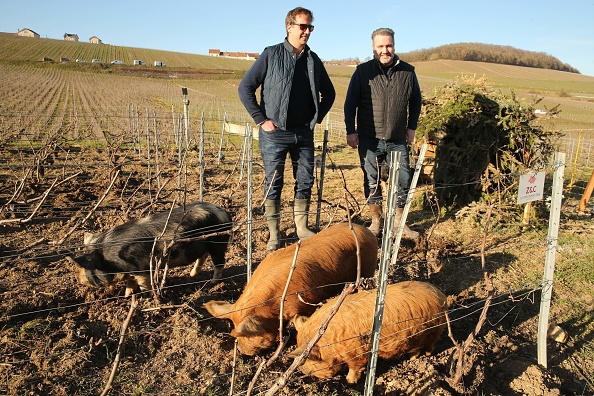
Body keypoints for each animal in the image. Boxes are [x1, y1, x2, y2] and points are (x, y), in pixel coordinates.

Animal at [66, 203, 230, 296]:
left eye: (88, 266)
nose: (77, 278)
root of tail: (224, 212)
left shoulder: (140, 269)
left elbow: (143, 284)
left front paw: (145, 297)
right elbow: (130, 283)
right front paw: (127, 296)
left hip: (218, 243)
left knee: (220, 263)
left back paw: (212, 283)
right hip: (204, 245)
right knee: (202, 257)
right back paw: (192, 275)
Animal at [204, 223, 376, 356]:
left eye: (249, 335)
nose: (242, 351)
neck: (272, 304)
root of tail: (367, 231)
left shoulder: (305, 300)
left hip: (367, 269)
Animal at [290, 280, 446, 382]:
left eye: (308, 360)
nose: (303, 371)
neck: (329, 341)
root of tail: (442, 296)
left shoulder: (356, 353)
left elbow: (355, 367)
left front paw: (350, 381)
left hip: (434, 330)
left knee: (430, 345)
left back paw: (420, 357)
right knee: (416, 348)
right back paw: (411, 358)